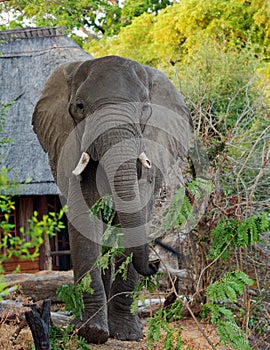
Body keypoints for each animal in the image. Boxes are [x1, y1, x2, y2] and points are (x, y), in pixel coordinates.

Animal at [32, 56, 194, 344]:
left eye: (144, 108)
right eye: (79, 107)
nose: (155, 264)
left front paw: (127, 334)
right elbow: (84, 217)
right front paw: (92, 332)